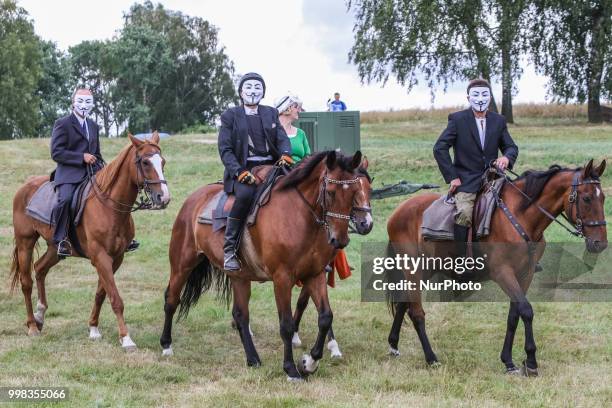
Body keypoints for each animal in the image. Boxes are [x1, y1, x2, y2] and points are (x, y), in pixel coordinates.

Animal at [9, 132, 171, 350]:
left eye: (162, 162)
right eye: (145, 162)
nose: (164, 198)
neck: (109, 206)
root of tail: (25, 187)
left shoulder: (116, 258)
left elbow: (102, 294)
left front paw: (93, 328)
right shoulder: (101, 257)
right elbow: (116, 298)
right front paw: (126, 338)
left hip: (55, 248)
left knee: (40, 268)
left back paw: (40, 315)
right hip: (25, 242)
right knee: (26, 282)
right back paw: (32, 326)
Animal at [161, 151, 372, 382]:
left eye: (359, 191)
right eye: (331, 193)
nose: (340, 239)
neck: (301, 216)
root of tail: (194, 198)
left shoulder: (314, 274)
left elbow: (325, 317)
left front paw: (309, 362)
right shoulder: (282, 279)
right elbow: (287, 325)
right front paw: (291, 369)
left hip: (240, 277)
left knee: (240, 315)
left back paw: (253, 359)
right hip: (182, 264)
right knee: (171, 299)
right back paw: (166, 345)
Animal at [388, 159, 608, 376]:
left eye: (603, 198)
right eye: (587, 198)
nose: (600, 244)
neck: (520, 217)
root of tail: (399, 210)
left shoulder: (525, 274)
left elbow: (514, 315)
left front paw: (509, 361)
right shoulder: (503, 273)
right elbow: (526, 310)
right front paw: (531, 361)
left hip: (425, 270)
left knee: (403, 303)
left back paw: (393, 345)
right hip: (414, 269)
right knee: (416, 313)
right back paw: (431, 358)